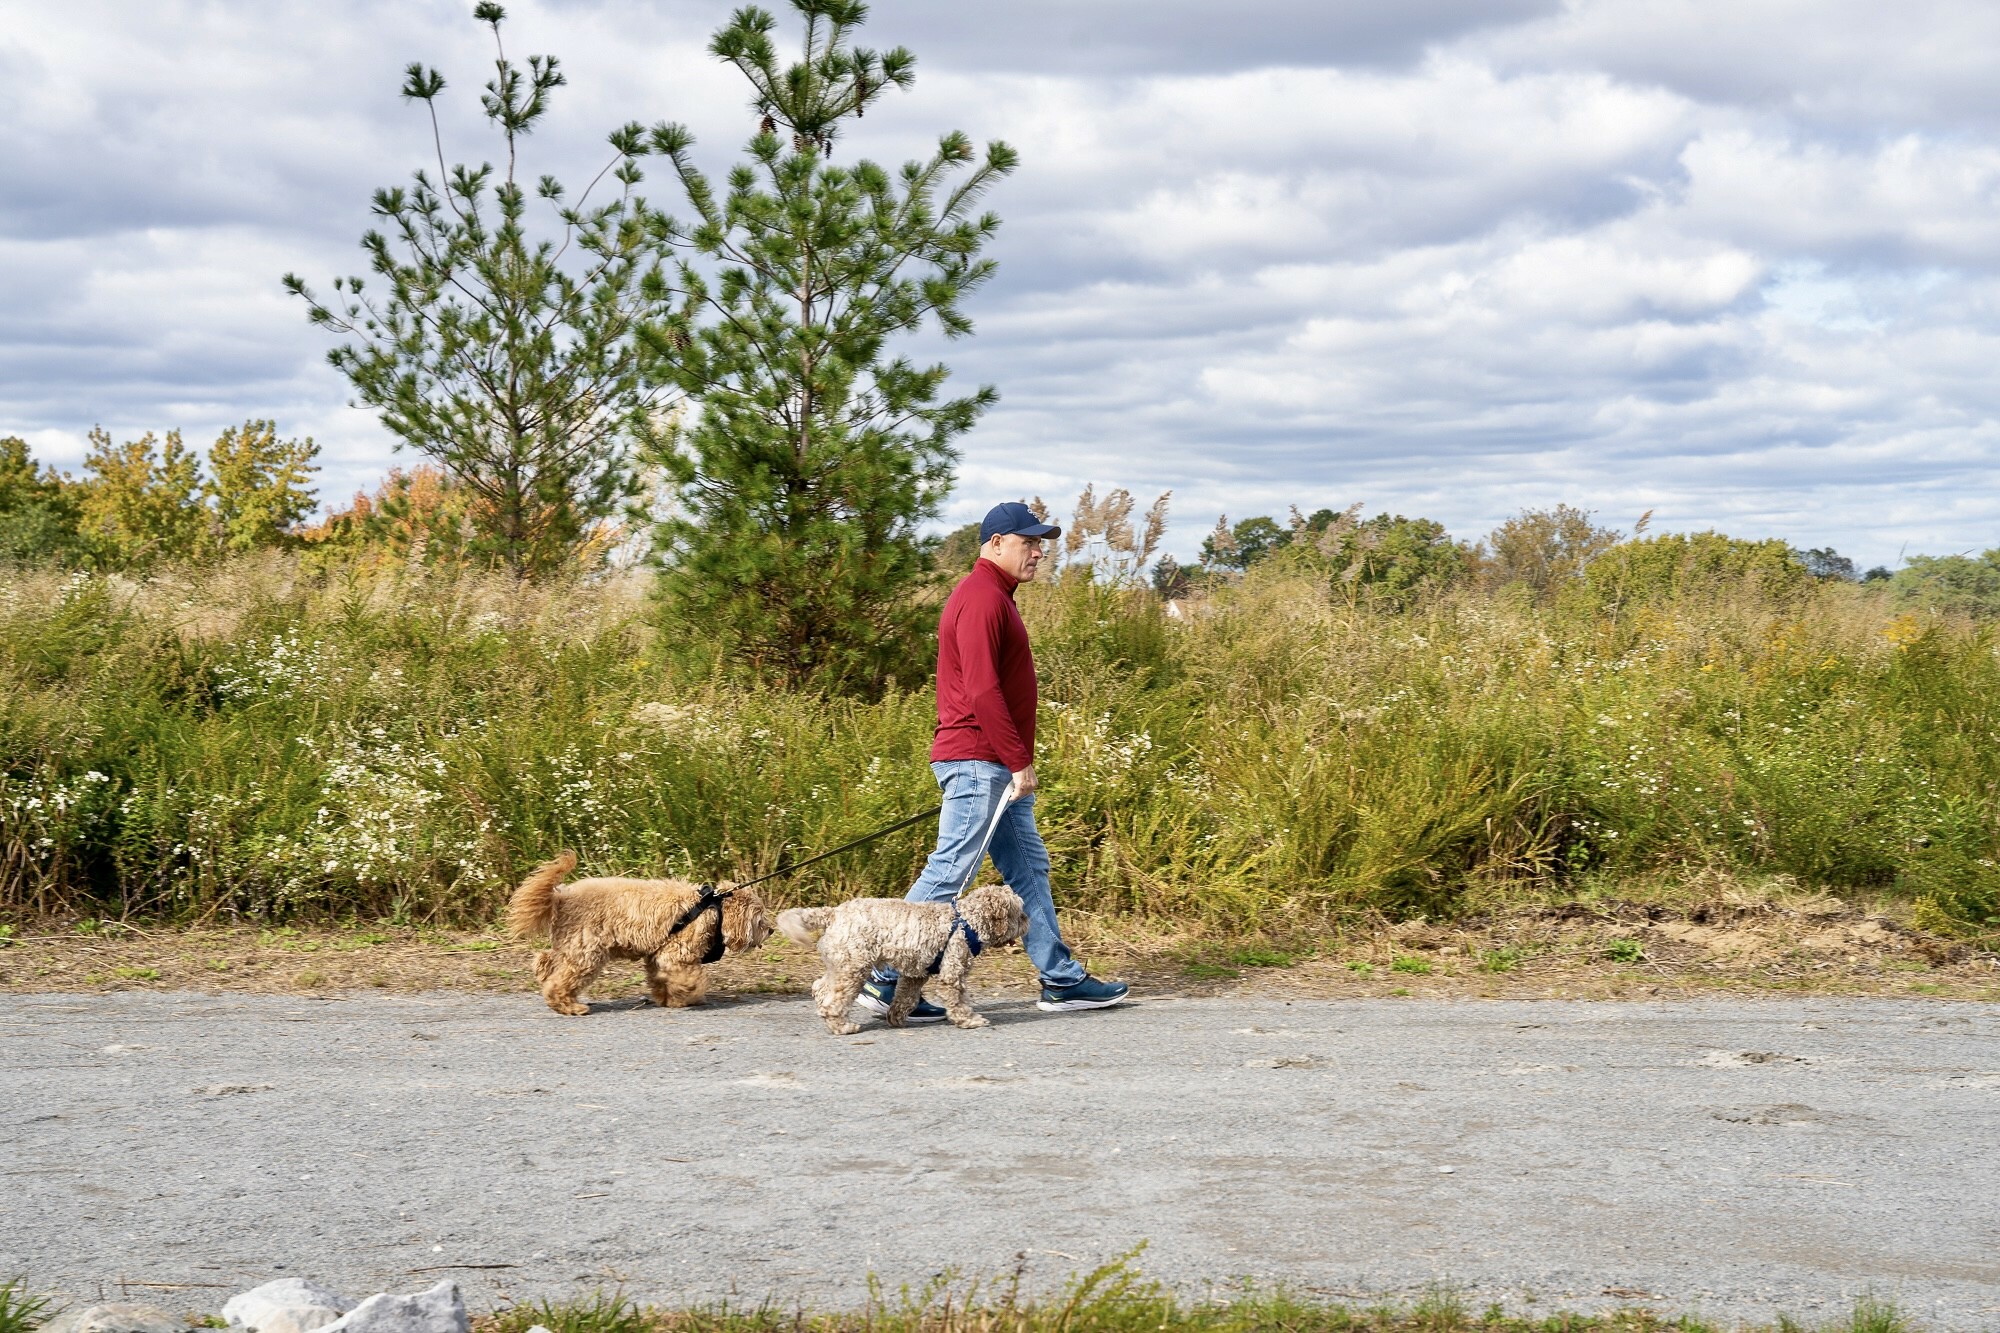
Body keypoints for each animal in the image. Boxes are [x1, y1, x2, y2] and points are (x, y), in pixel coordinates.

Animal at [504, 844, 768, 1012]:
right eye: (760, 918)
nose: (771, 930)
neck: (711, 907)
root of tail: (561, 897)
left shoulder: (657, 955)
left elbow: (659, 978)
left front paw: (669, 999)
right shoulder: (675, 954)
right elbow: (691, 979)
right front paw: (689, 996)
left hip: (571, 945)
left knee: (545, 961)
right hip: (586, 952)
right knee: (561, 980)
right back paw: (569, 1006)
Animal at [780, 888, 1032, 1032]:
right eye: (1019, 914)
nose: (1028, 921)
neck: (966, 922)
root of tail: (833, 913)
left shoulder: (915, 975)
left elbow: (905, 999)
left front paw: (896, 1018)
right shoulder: (953, 973)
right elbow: (958, 1000)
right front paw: (970, 1020)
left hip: (840, 964)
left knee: (820, 987)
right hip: (852, 968)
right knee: (834, 1001)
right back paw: (842, 1026)